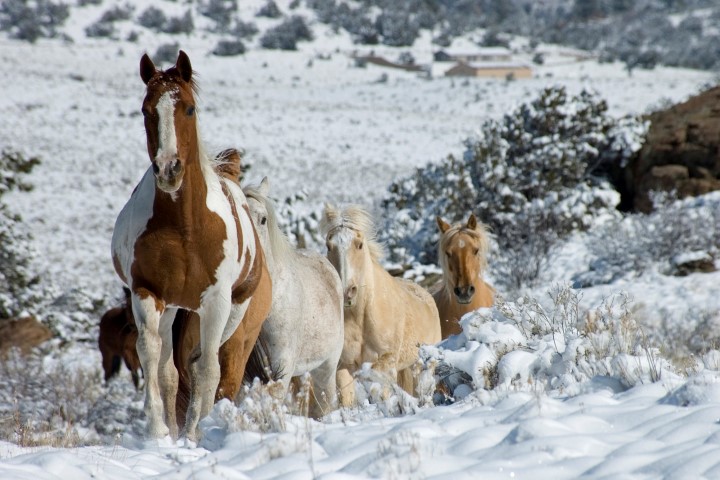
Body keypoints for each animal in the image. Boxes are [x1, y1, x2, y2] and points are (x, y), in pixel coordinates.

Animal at [111, 51, 272, 438]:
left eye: (189, 108)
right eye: (146, 110)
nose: (169, 169)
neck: (184, 228)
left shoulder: (216, 301)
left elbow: (207, 368)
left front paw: (196, 432)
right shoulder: (147, 292)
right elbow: (152, 356)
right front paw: (159, 430)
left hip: (233, 312)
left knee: (209, 364)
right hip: (172, 307)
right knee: (170, 370)